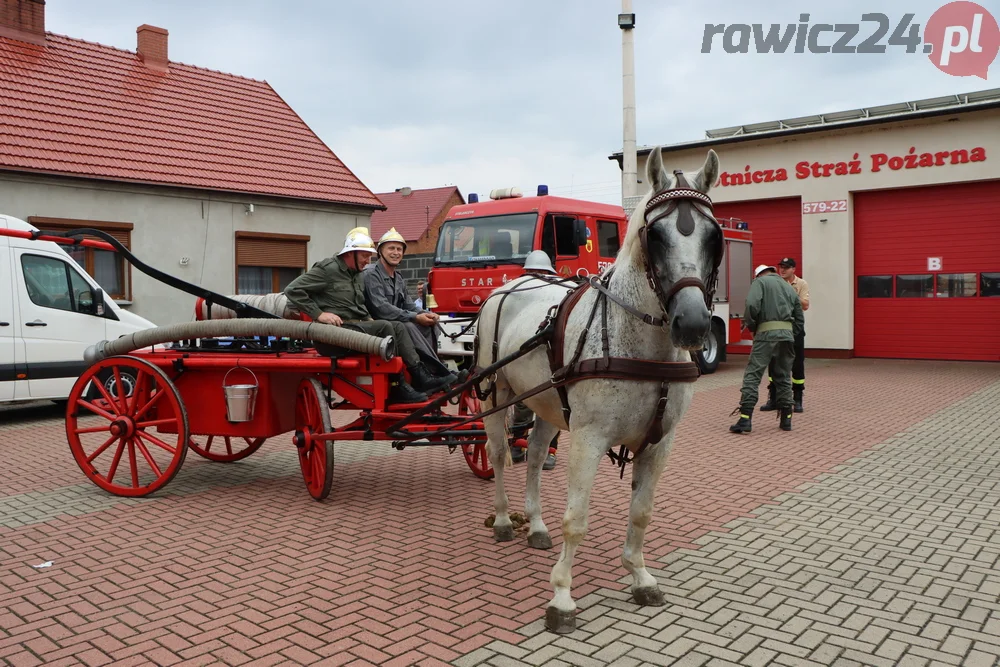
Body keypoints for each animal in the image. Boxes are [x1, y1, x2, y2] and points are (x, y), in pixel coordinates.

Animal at [474, 147, 720, 636]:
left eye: (712, 235)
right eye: (655, 234)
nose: (693, 324)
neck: (643, 347)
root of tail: (507, 287)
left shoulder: (660, 444)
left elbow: (641, 513)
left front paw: (640, 576)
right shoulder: (588, 439)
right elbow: (577, 520)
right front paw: (562, 597)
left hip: (547, 404)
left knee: (534, 455)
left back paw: (535, 525)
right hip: (496, 396)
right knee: (499, 454)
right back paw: (504, 519)